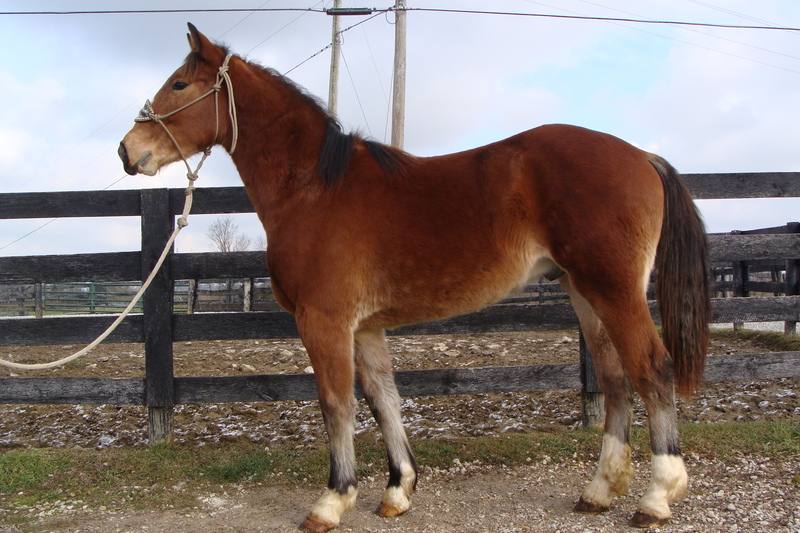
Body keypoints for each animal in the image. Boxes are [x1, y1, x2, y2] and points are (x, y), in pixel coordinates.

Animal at [119, 23, 710, 532]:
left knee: (652, 370)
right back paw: (599, 490)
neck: (316, 187)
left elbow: (336, 405)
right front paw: (398, 491)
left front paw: (332, 501)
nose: (129, 150)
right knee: (614, 380)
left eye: (179, 84)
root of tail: (641, 156)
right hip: (584, 292)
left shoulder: (324, 321)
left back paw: (657, 497)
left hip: (614, 291)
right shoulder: (364, 327)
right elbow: (384, 400)